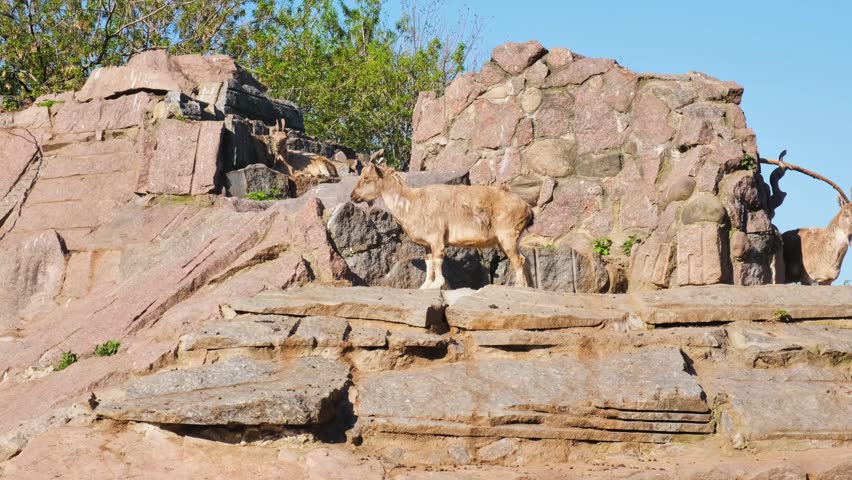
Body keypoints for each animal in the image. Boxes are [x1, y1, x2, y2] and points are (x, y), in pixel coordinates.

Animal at [350, 157, 533, 289]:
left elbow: (438, 260)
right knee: (525, 259)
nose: (353, 196)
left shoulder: (437, 238)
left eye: (366, 178)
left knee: (518, 260)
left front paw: (437, 284)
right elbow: (429, 262)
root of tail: (527, 208)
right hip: (508, 240)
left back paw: (519, 286)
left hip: (507, 236)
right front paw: (425, 286)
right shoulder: (427, 244)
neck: (412, 203)